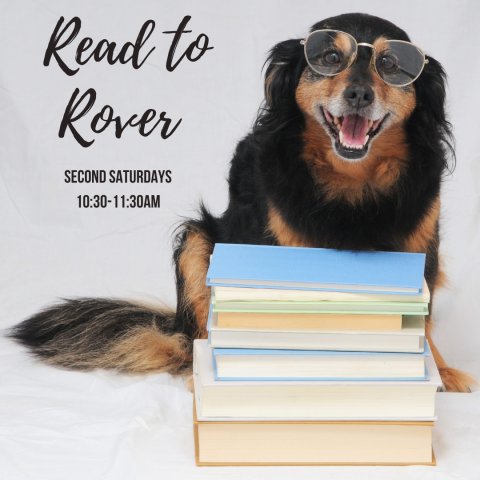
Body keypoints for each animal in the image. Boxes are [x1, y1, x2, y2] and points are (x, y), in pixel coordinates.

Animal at [8, 13, 476, 392]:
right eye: (328, 57)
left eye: (391, 65)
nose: (359, 94)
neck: (351, 185)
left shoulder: (421, 247)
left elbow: (422, 319)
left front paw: (438, 371)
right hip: (197, 241)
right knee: (197, 334)